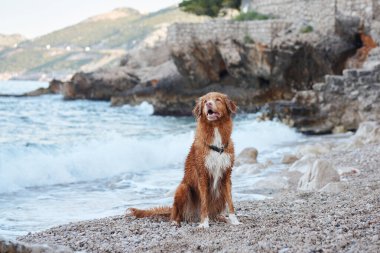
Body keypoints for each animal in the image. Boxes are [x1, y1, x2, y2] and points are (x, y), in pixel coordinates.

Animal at [129, 91, 239, 227]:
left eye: (217, 100)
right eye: (205, 101)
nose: (208, 104)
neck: (215, 129)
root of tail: (193, 216)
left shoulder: (226, 175)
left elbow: (230, 201)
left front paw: (234, 220)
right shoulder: (202, 174)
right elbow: (204, 203)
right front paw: (204, 223)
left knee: (214, 212)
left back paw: (221, 217)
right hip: (183, 188)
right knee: (176, 213)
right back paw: (176, 222)